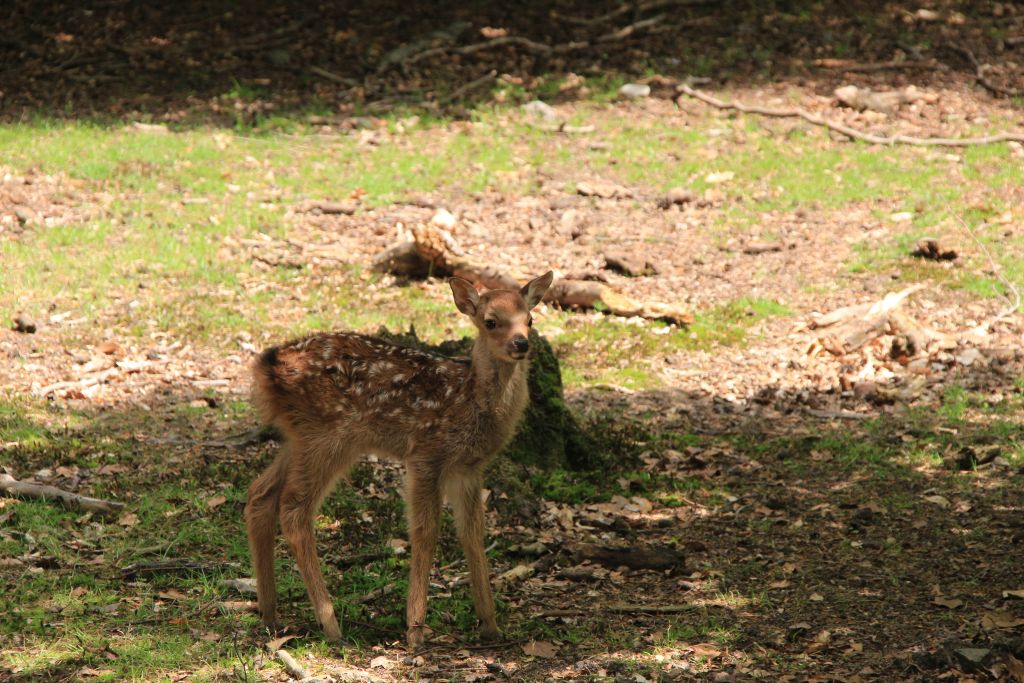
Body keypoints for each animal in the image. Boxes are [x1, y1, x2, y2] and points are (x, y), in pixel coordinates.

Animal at [243, 270, 552, 647]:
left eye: (530, 319)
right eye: (491, 321)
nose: (521, 344)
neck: (469, 400)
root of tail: (265, 367)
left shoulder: (469, 469)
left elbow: (473, 533)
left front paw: (491, 625)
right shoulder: (426, 454)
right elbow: (425, 531)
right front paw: (415, 630)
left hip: (300, 438)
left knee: (260, 494)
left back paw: (270, 615)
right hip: (329, 436)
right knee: (294, 510)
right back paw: (331, 625)